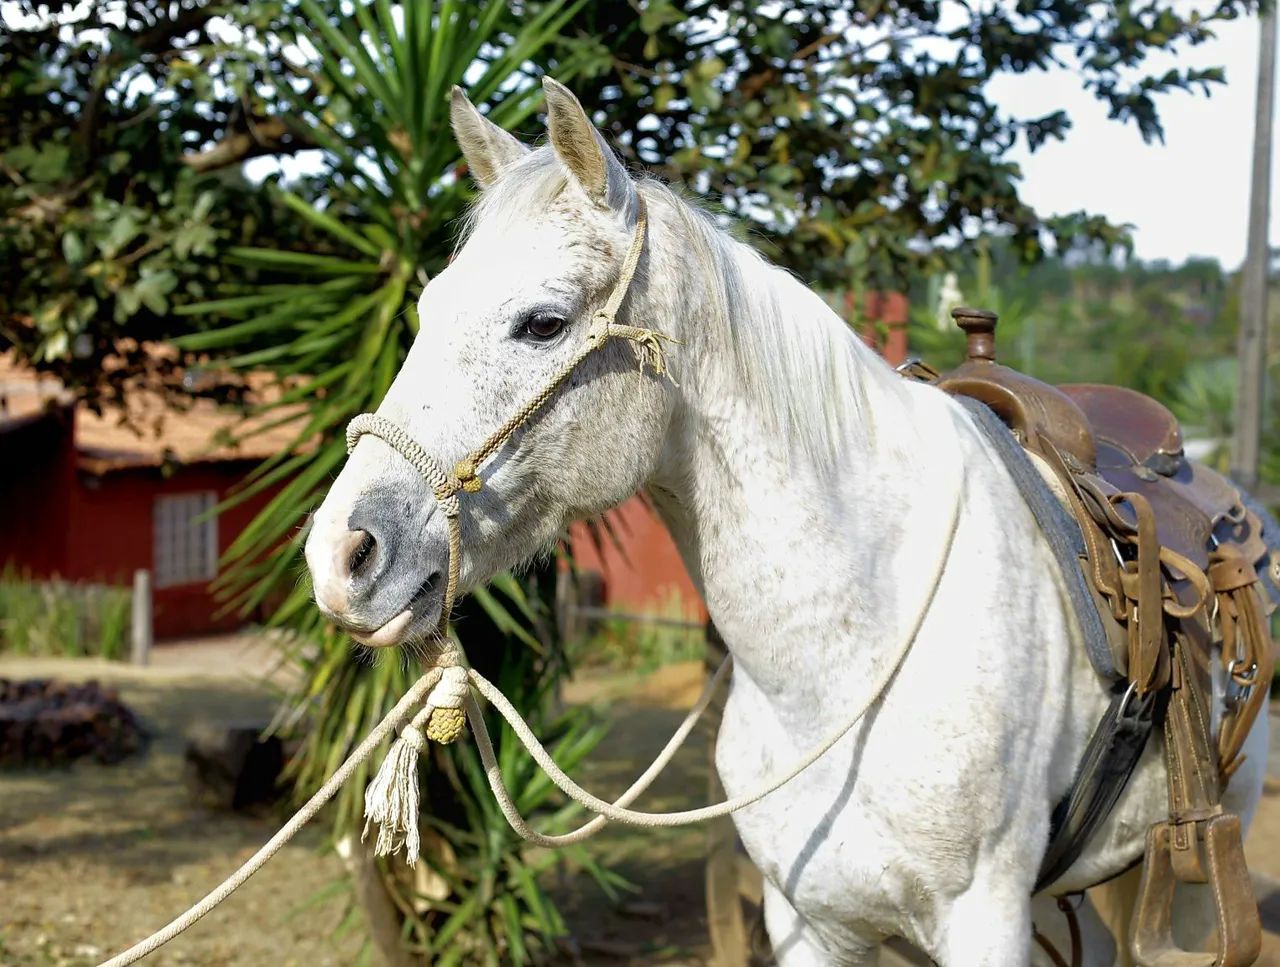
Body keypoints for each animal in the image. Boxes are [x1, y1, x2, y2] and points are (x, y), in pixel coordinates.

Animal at [303, 77, 1270, 965]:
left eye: (542, 323)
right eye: (426, 310)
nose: (342, 554)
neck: (849, 657)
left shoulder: (983, 920)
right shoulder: (809, 921)